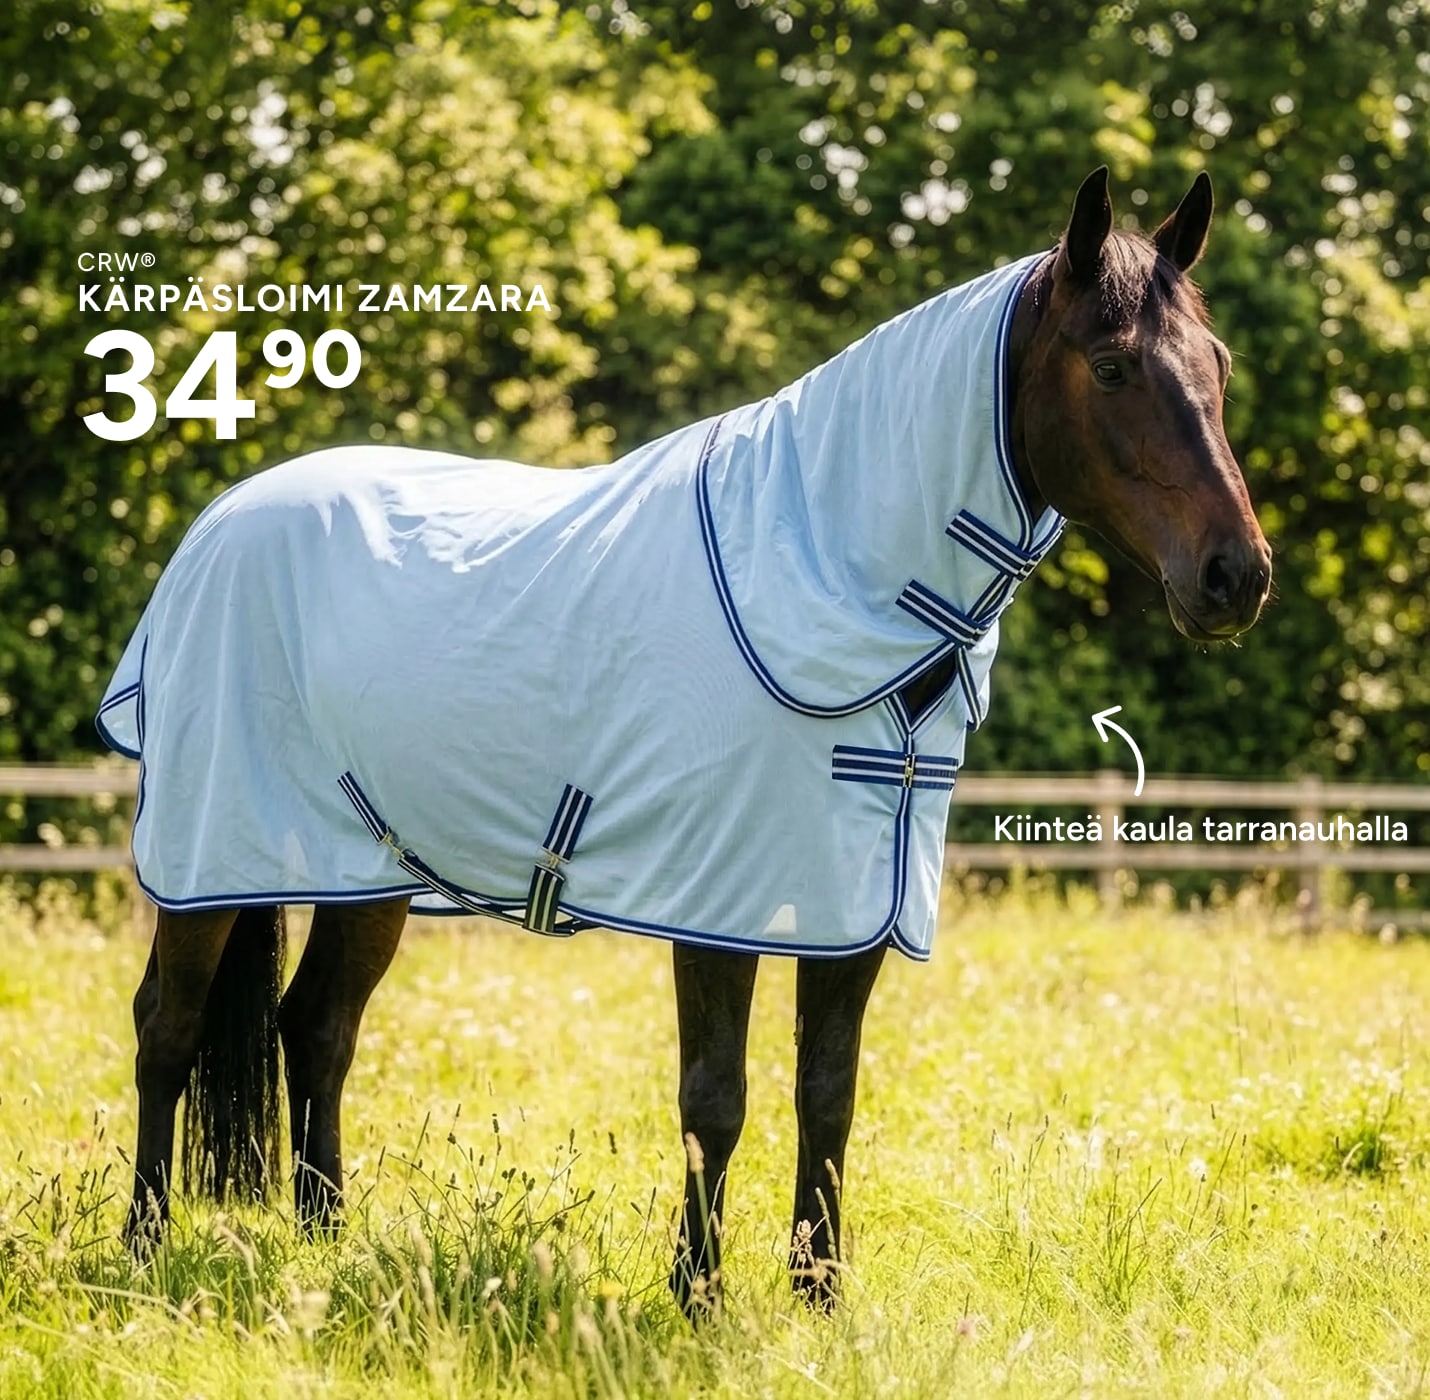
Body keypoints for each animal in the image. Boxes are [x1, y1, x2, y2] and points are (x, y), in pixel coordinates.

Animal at [101, 167, 1270, 1315]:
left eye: (1214, 366)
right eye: (1112, 366)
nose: (1237, 576)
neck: (824, 561)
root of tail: (218, 522)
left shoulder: (851, 904)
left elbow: (827, 1094)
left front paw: (818, 1296)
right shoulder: (720, 902)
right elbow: (717, 1096)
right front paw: (697, 1292)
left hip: (366, 866)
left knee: (317, 1027)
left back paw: (327, 1244)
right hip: (211, 852)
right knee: (167, 1024)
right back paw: (145, 1247)